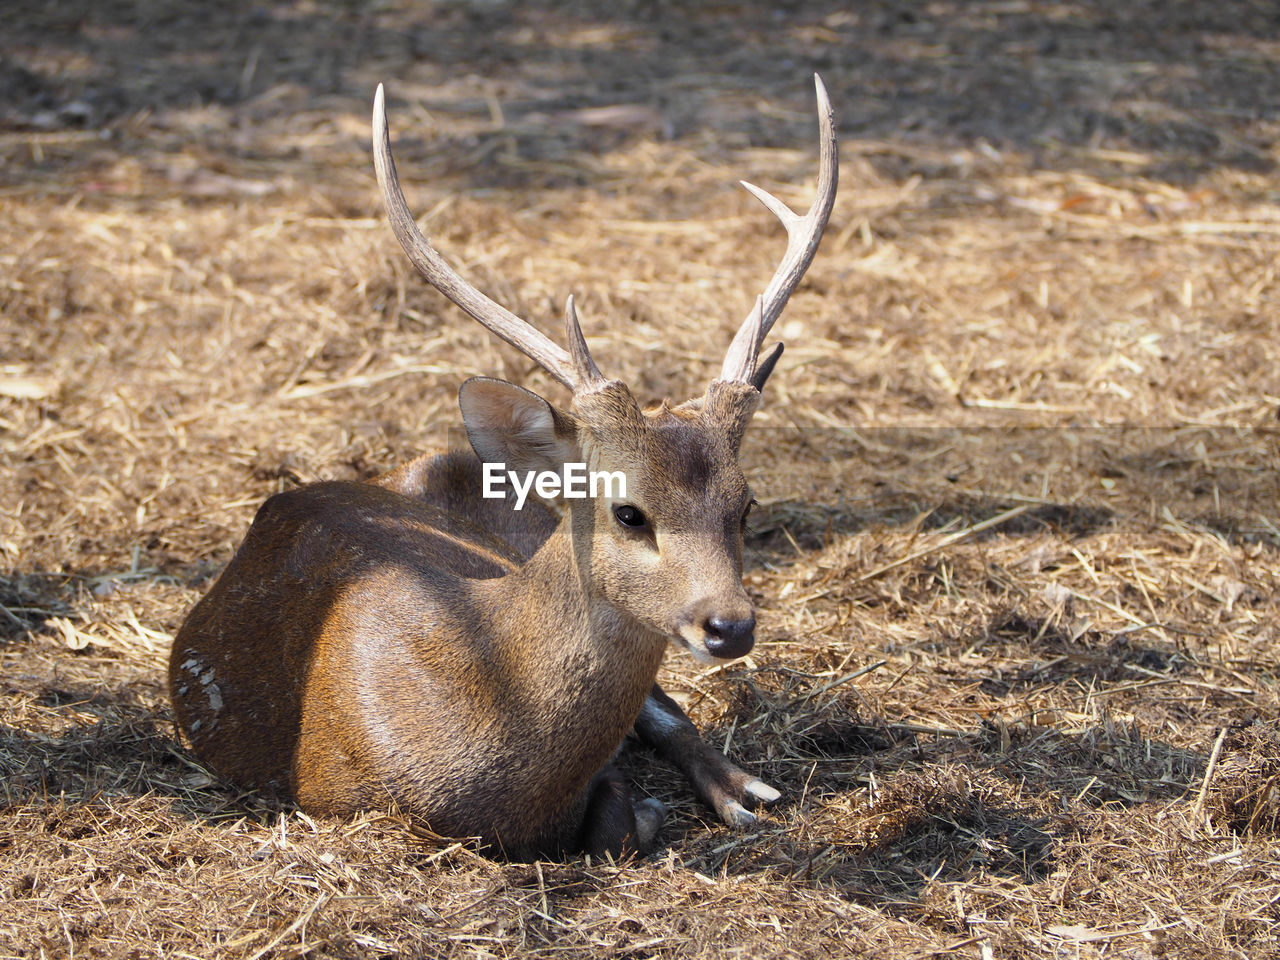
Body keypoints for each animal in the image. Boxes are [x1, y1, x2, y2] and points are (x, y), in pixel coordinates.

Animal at [170, 73, 834, 855]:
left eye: (746, 504)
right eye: (628, 511)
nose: (730, 626)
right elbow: (620, 820)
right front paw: (641, 806)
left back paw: (743, 790)